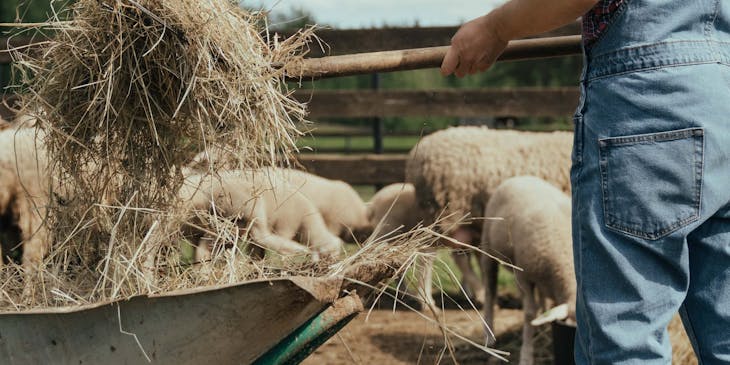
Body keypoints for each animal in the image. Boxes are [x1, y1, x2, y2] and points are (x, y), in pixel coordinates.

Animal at [178, 169, 344, 260]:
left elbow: (256, 251)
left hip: (223, 224)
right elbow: (278, 238)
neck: (306, 223)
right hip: (251, 209)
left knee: (207, 246)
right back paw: (296, 249)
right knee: (262, 236)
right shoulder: (287, 223)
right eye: (332, 254)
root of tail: (209, 195)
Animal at [478, 175, 576, 362]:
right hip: (488, 248)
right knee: (490, 290)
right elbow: (529, 314)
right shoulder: (524, 277)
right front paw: (526, 356)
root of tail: (520, 177)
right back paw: (489, 335)